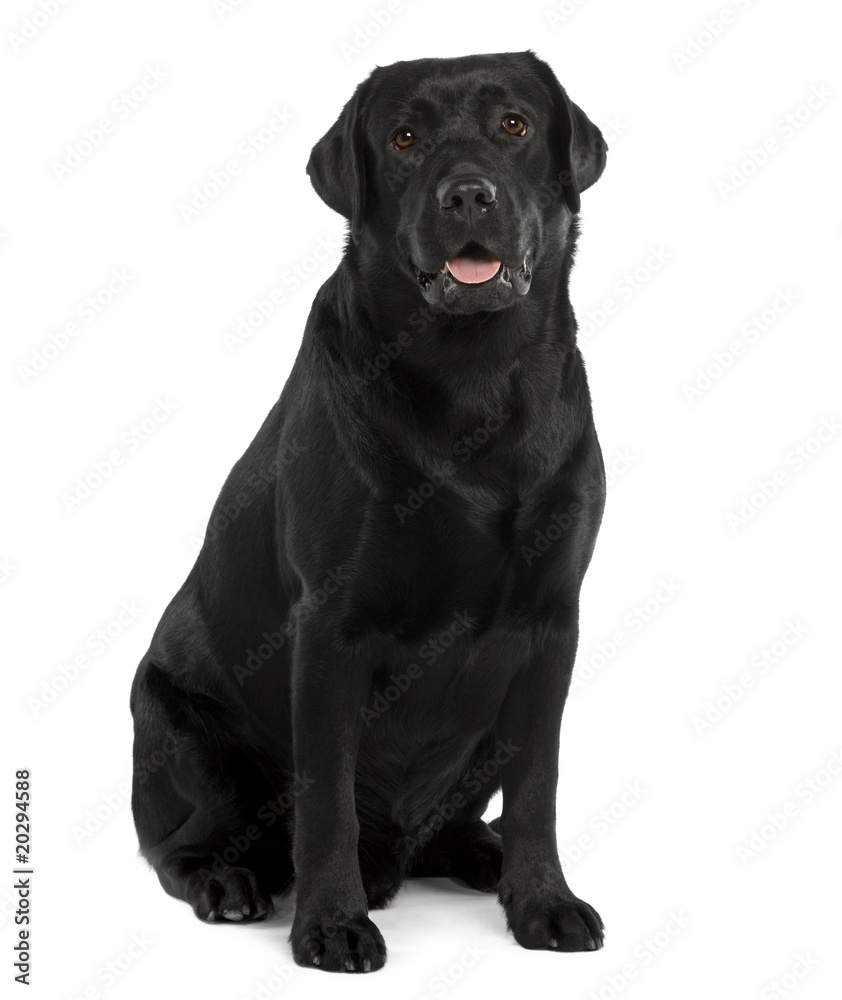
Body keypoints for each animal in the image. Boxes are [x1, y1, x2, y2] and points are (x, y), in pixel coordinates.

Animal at [128, 50, 608, 972]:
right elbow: (327, 799)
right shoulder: (329, 624)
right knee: (176, 845)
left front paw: (543, 900)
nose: (467, 195)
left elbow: (539, 784)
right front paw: (330, 924)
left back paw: (481, 854)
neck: (473, 378)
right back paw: (229, 882)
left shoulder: (551, 624)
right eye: (405, 138)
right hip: (180, 724)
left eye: (515, 125)